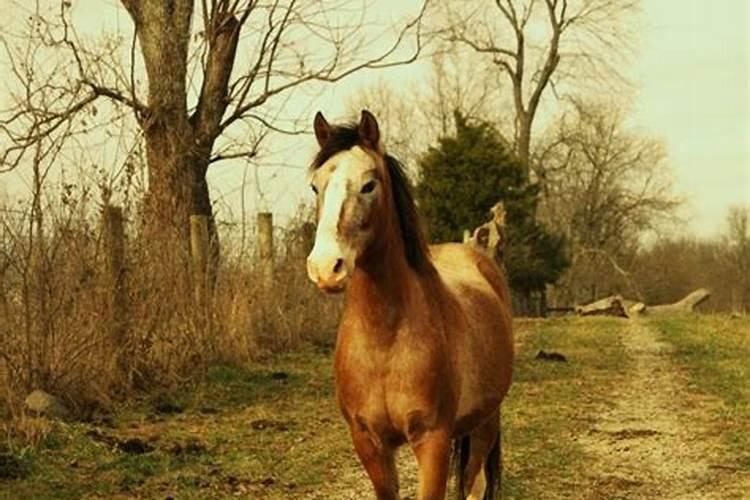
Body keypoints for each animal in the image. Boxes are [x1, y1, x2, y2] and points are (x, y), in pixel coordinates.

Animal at [308, 110, 516, 500]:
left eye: (369, 185)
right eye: (315, 186)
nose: (326, 267)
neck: (385, 341)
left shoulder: (432, 440)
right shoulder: (369, 442)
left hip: (485, 422)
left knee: (474, 484)